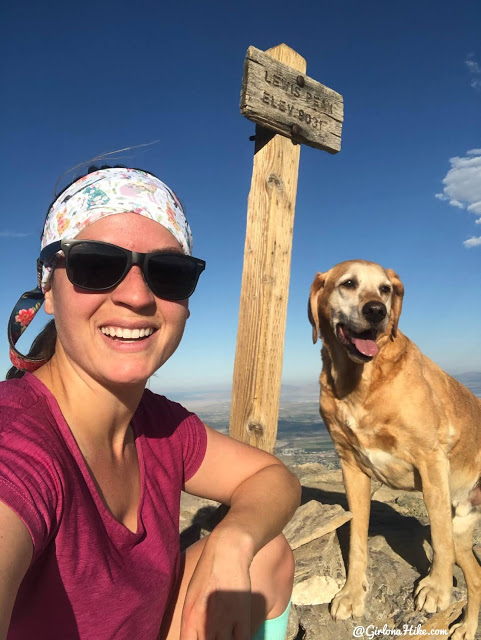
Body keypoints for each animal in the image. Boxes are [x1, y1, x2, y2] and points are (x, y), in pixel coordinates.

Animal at [310, 260, 481, 640]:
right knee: (477, 576)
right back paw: (467, 627)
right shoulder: (351, 468)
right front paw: (351, 593)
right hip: (463, 524)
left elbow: (438, 536)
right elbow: (357, 539)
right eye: (348, 284)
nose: (377, 311)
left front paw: (436, 588)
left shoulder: (432, 462)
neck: (362, 380)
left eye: (386, 289)